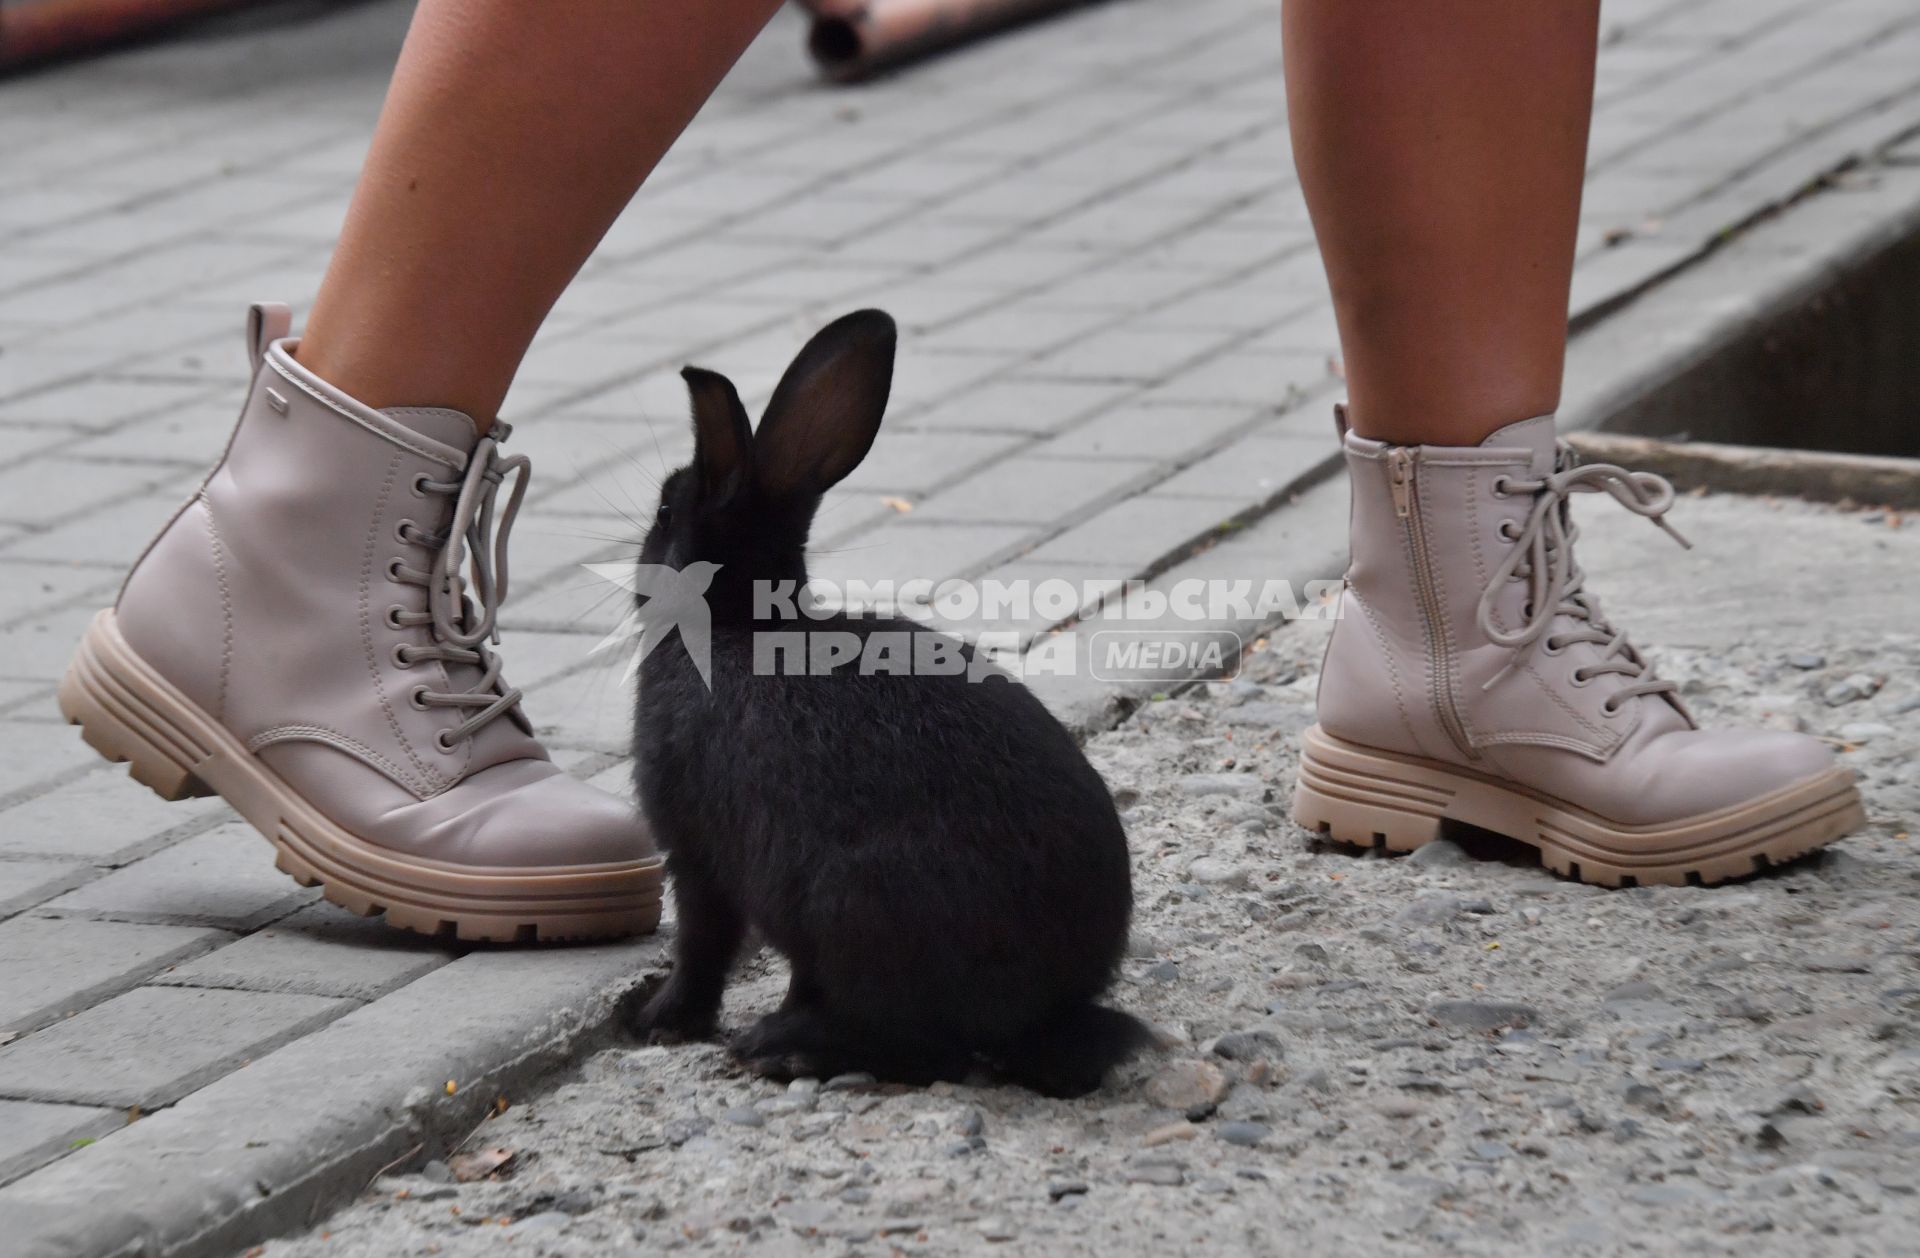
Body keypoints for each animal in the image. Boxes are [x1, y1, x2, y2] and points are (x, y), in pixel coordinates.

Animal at [622, 309, 1144, 1098]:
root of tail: (1048, 1011)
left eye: (661, 509)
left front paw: (661, 1020)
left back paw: (782, 1049)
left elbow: (702, 946)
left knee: (926, 1049)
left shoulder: (695, 853)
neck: (736, 620)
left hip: (851, 907)